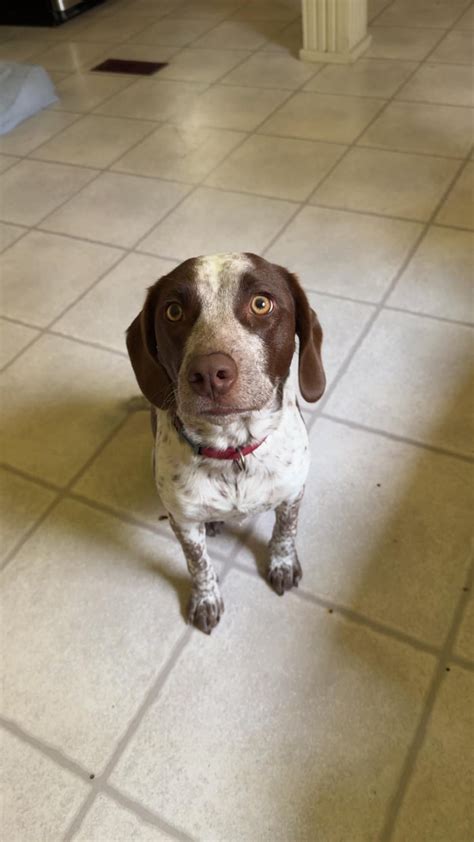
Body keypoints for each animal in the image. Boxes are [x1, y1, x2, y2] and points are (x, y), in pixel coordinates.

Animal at [126, 252, 325, 634]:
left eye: (261, 303)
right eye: (173, 311)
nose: (208, 373)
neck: (233, 449)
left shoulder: (293, 493)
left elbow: (285, 531)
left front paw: (281, 563)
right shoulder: (184, 522)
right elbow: (198, 564)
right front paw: (205, 599)